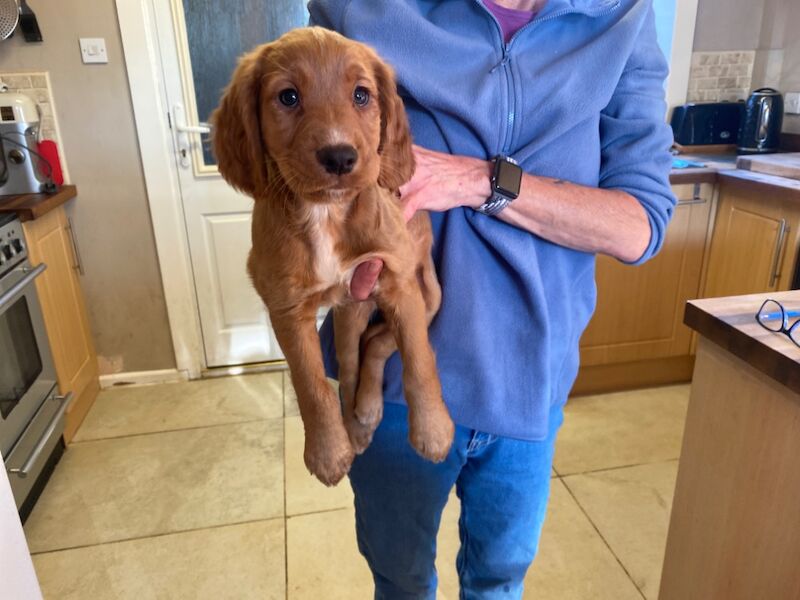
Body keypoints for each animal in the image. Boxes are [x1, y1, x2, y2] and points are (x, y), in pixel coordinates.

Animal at [209, 29, 454, 488]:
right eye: (288, 97)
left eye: (361, 95)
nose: (340, 156)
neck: (327, 214)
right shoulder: (285, 305)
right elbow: (311, 382)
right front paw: (327, 452)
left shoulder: (397, 279)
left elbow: (419, 359)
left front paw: (433, 430)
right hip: (349, 311)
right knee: (355, 360)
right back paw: (357, 424)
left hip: (427, 295)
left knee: (378, 345)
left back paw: (367, 411)